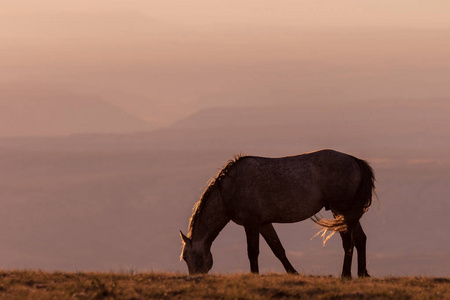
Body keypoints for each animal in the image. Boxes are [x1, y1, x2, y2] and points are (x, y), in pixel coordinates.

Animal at [178, 149, 372, 278]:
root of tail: (355, 160)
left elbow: (252, 251)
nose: (195, 278)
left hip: (340, 210)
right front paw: (293, 272)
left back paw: (346, 275)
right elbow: (278, 249)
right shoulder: (264, 224)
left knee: (348, 241)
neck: (229, 189)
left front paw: (254, 275)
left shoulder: (251, 224)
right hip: (348, 213)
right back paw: (362, 273)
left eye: (186, 257)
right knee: (360, 238)